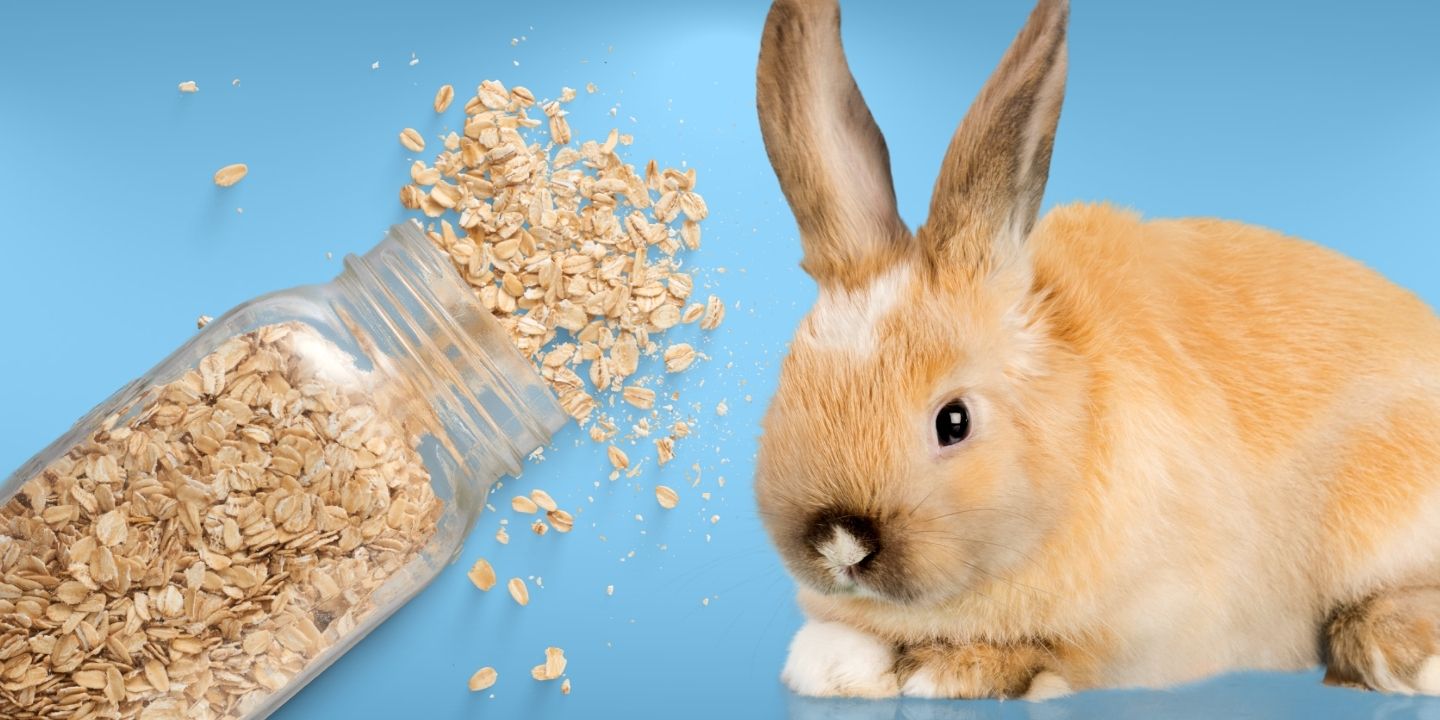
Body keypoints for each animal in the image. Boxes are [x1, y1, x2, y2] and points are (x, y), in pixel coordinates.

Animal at [753, 0, 1440, 701]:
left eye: (954, 420)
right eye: (787, 388)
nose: (840, 543)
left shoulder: (1155, 626)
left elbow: (1057, 655)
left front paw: (952, 671)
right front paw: (834, 666)